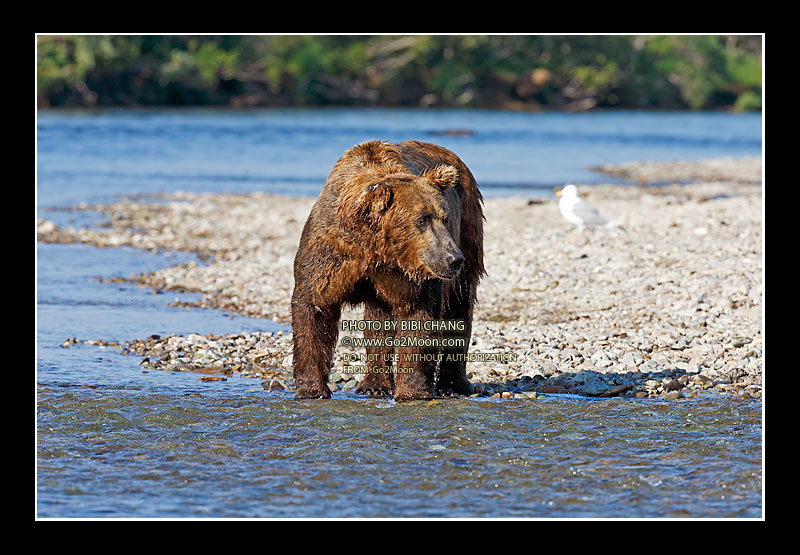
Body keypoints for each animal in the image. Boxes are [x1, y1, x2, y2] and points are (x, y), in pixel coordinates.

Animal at [291, 139, 485, 401]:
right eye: (422, 219)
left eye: (444, 218)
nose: (453, 258)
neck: (377, 248)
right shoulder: (331, 253)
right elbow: (313, 307)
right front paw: (311, 389)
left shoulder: (412, 274)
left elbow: (419, 315)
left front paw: (413, 390)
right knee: (378, 321)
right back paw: (374, 384)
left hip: (469, 230)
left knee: (459, 305)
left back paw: (453, 384)